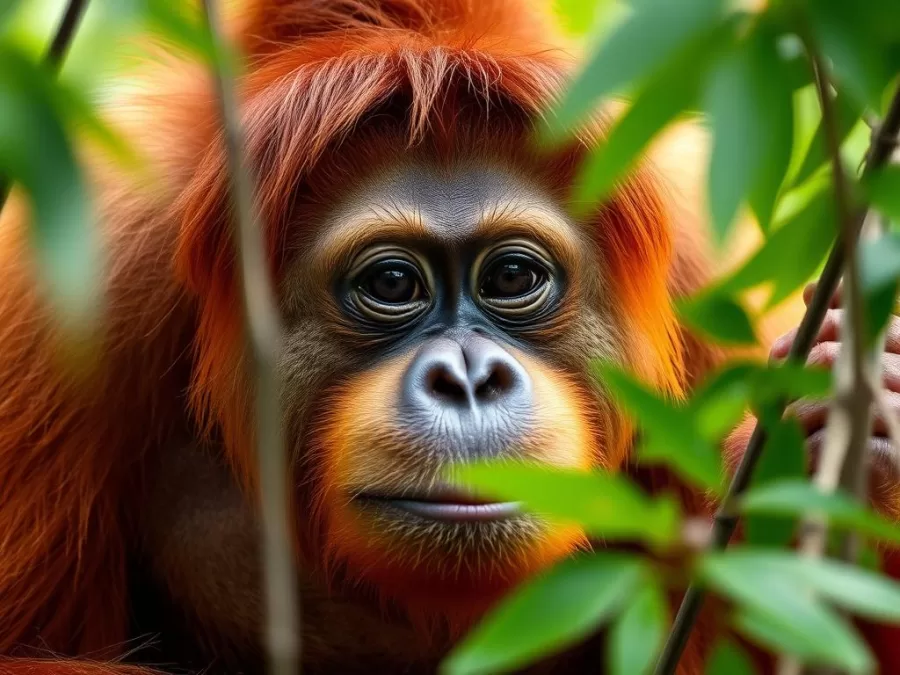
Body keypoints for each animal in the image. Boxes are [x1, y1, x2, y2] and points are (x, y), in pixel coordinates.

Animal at [1, 1, 899, 673]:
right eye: (394, 285)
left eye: (512, 277)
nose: (468, 378)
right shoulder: (73, 307)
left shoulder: (708, 279)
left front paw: (859, 425)